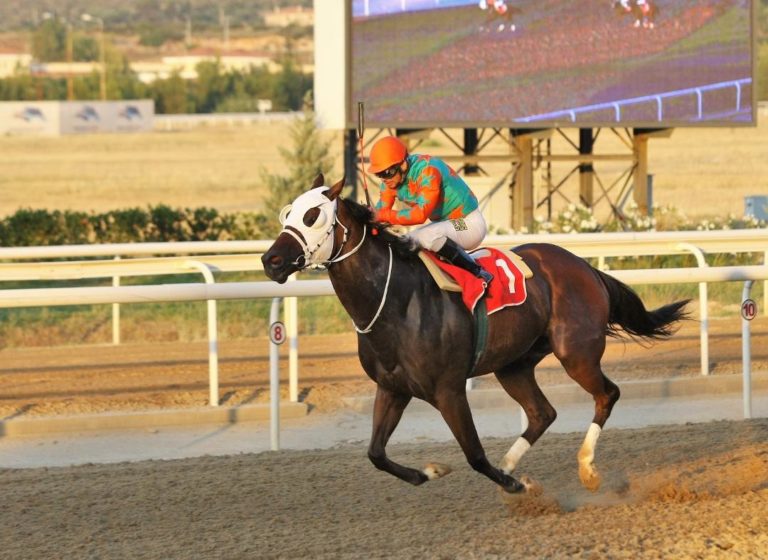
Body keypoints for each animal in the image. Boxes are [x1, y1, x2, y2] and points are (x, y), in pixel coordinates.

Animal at [262, 176, 688, 494]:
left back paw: (585, 469)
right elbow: (376, 453)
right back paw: (513, 464)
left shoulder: (448, 390)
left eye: (313, 215)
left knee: (607, 395)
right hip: (514, 363)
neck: (396, 299)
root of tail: (585, 267)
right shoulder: (392, 388)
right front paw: (429, 472)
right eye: (289, 212)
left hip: (576, 353)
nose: (270, 260)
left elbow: (475, 455)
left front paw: (513, 486)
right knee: (542, 413)